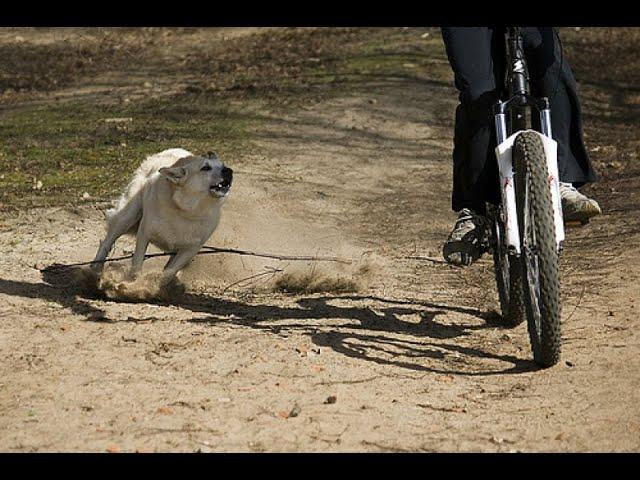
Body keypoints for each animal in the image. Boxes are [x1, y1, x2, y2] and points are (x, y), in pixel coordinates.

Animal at [91, 149, 234, 284]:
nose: (229, 171)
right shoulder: (144, 234)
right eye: (205, 168)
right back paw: (95, 269)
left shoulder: (190, 250)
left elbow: (169, 271)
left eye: (223, 165)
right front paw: (133, 283)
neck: (186, 211)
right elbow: (137, 263)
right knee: (106, 243)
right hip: (127, 216)